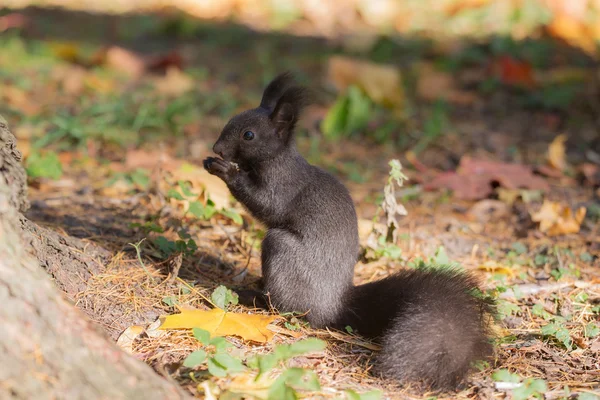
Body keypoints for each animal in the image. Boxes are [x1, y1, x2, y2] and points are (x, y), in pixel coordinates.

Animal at [204, 72, 494, 390]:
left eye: (249, 135)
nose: (217, 149)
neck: (277, 160)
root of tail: (335, 305)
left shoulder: (283, 187)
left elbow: (267, 206)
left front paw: (225, 170)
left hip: (282, 251)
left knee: (287, 307)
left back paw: (253, 296)